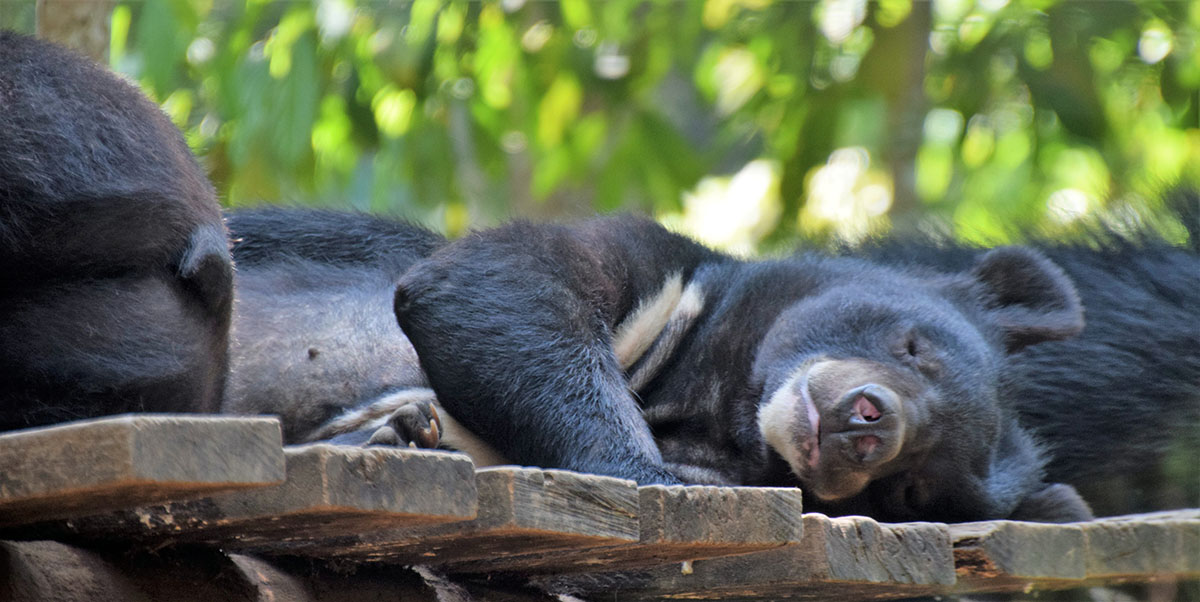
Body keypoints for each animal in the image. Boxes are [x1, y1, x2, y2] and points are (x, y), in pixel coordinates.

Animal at [225, 209, 1200, 525]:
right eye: (913, 345)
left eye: (915, 488)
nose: (867, 426)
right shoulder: (662, 276)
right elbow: (494, 283)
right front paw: (633, 467)